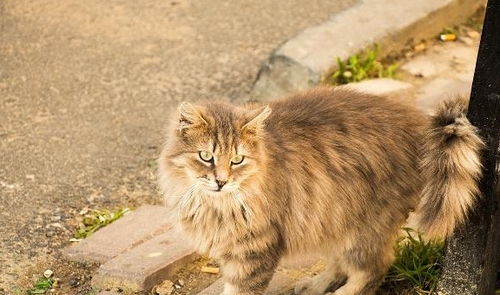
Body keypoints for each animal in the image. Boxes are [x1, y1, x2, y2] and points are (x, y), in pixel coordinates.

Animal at [157, 86, 484, 295]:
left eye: (237, 160)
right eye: (206, 157)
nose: (221, 181)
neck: (213, 205)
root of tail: (419, 125)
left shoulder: (254, 253)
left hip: (364, 230)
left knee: (373, 269)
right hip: (331, 217)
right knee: (339, 265)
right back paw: (316, 285)